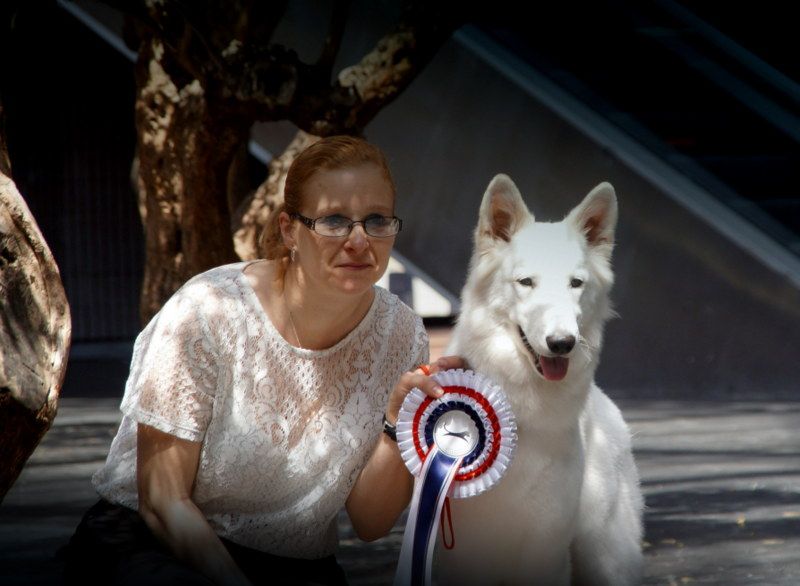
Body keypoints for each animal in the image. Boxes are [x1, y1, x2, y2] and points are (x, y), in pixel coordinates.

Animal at [438, 175, 644, 584]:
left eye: (576, 283)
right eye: (526, 282)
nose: (562, 343)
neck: (514, 418)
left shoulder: (545, 552)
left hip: (605, 561)